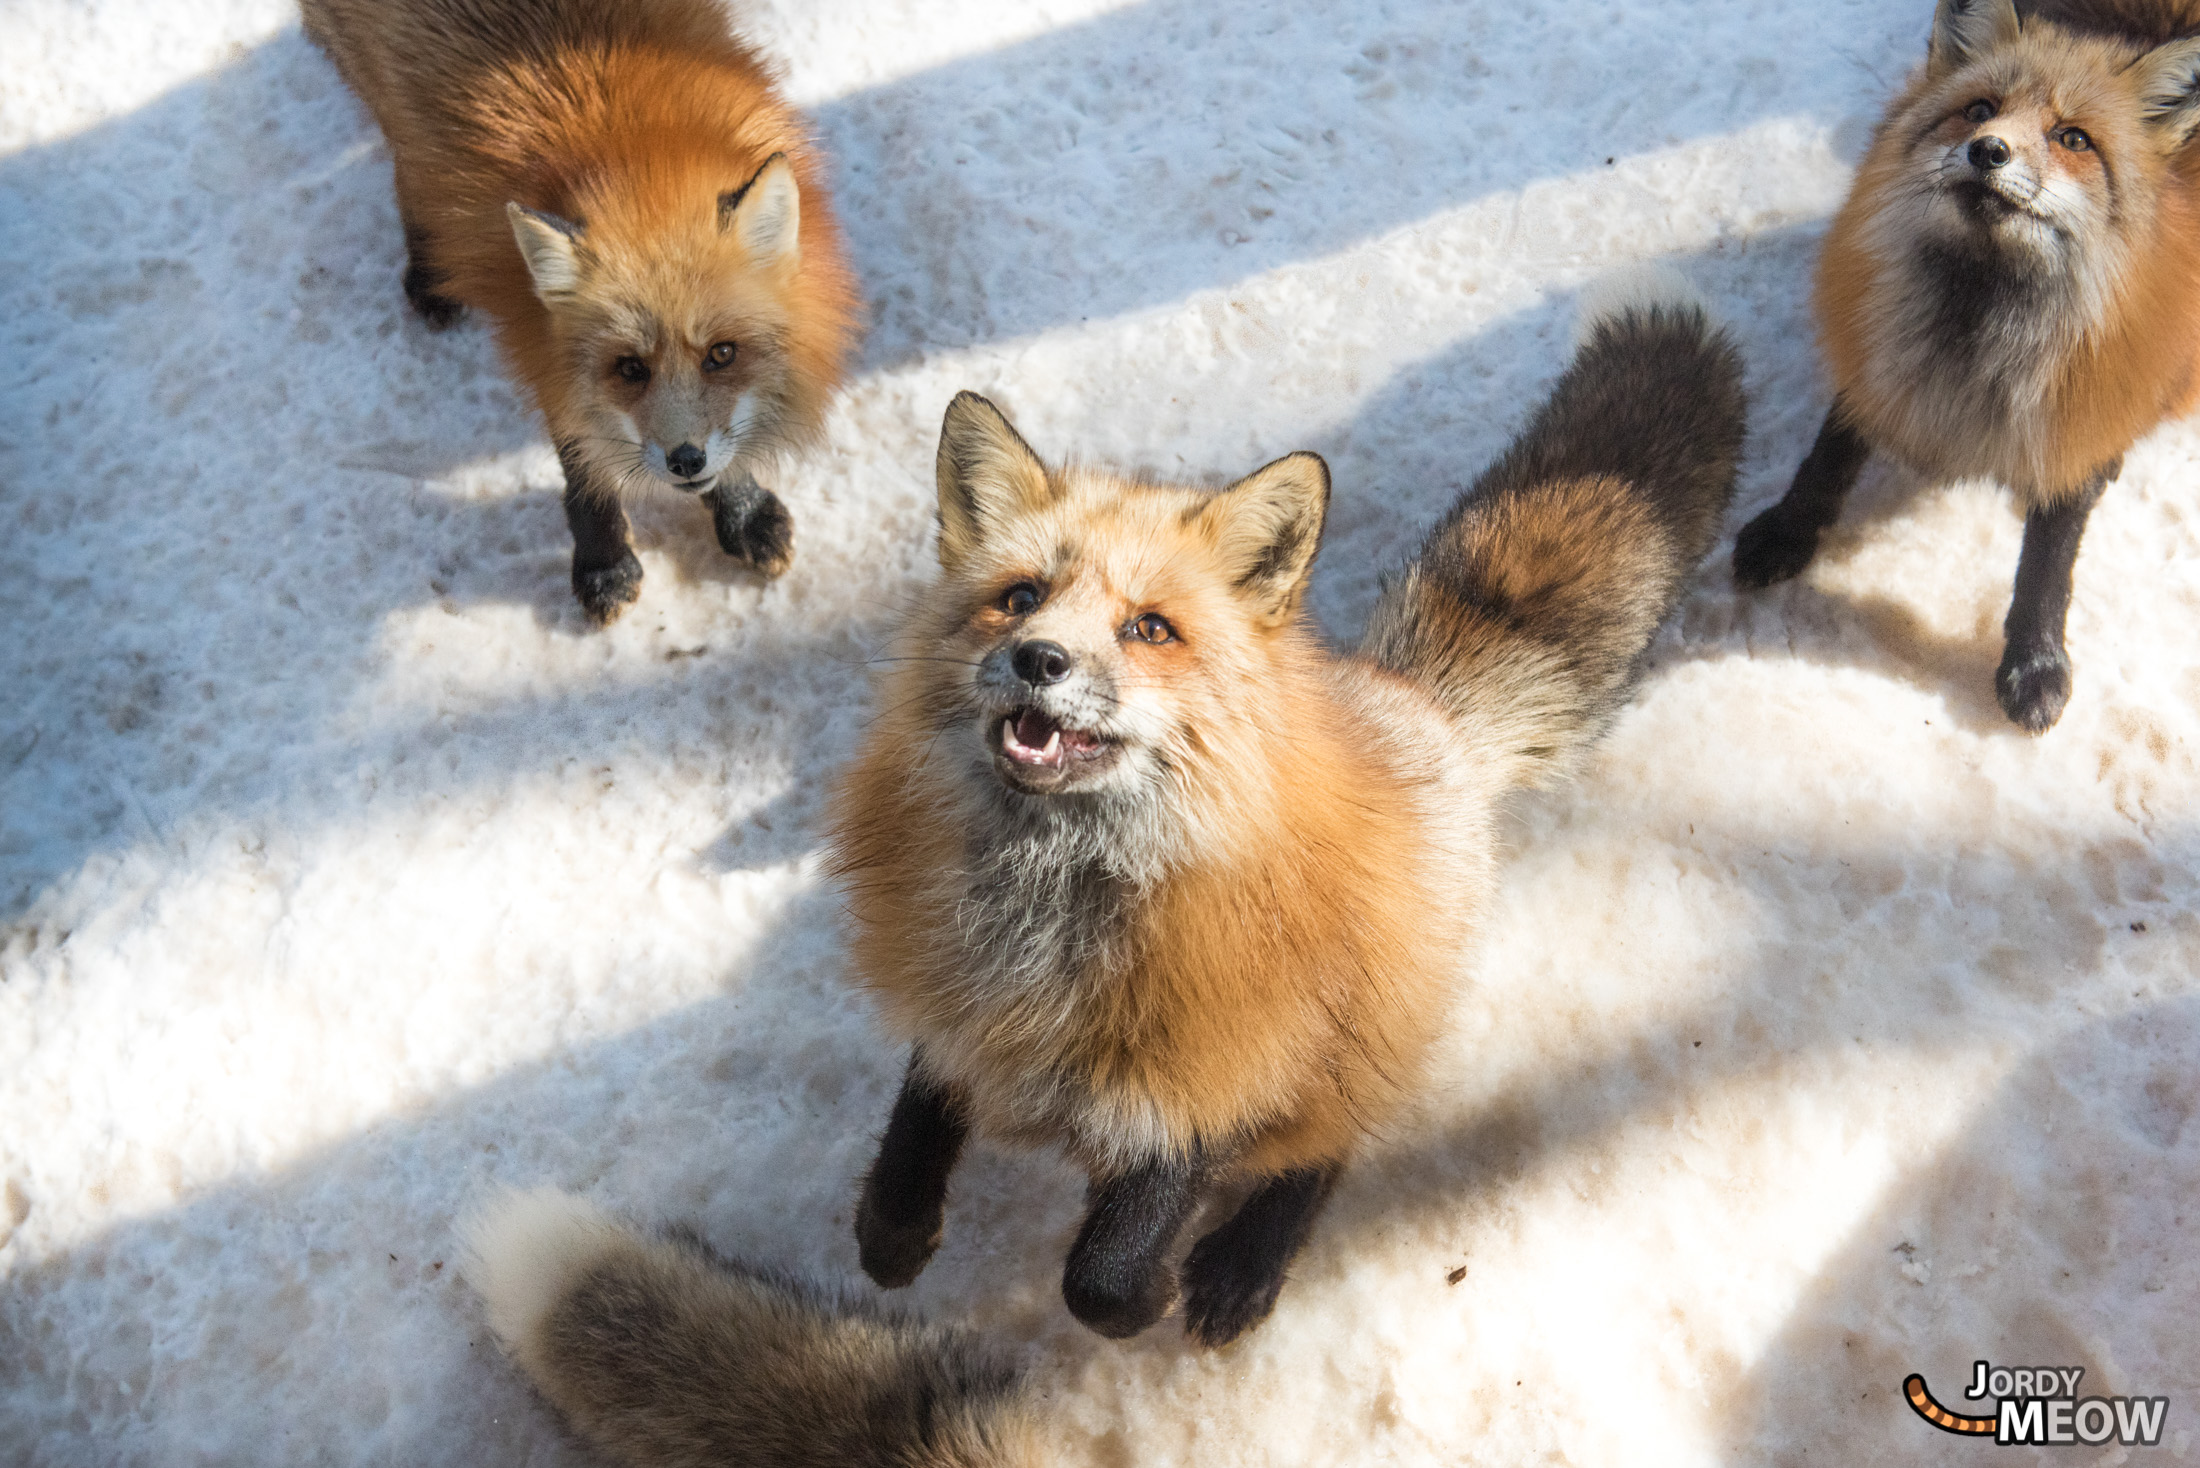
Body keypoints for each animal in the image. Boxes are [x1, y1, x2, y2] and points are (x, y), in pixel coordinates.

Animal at [299, 0, 858, 625]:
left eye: (722, 354)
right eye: (629, 368)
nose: (685, 461)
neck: (633, 151)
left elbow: (729, 452)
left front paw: (742, 511)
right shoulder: (543, 347)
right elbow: (581, 463)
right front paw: (604, 562)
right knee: (406, 167)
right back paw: (427, 271)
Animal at [1724, 0, 2200, 730]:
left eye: (2073, 139)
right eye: (1980, 110)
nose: (1989, 150)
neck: (1973, 335)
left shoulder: (2074, 413)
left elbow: (2048, 565)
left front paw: (2036, 662)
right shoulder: (1879, 359)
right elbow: (1825, 460)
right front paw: (1787, 530)